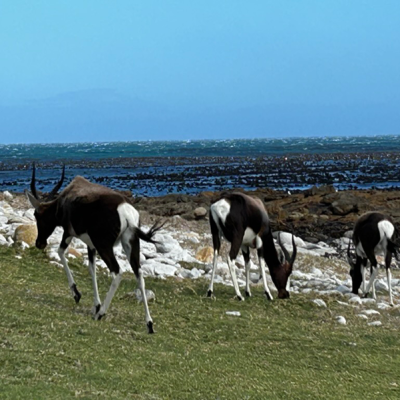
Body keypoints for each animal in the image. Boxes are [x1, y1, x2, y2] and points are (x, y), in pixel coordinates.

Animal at [25, 164, 162, 332]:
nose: (40, 243)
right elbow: (92, 269)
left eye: (37, 215)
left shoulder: (69, 233)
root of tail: (125, 211)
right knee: (139, 274)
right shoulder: (91, 246)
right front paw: (95, 305)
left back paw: (101, 314)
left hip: (105, 246)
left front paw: (77, 295)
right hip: (130, 244)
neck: (66, 198)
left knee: (117, 272)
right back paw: (149, 324)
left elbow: (60, 252)